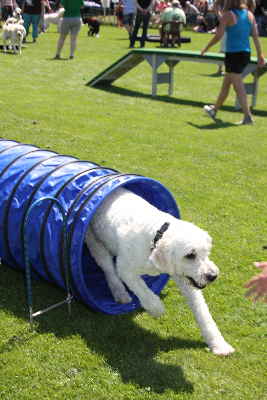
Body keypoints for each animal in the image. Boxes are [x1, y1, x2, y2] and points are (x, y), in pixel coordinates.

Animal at [86, 188, 237, 356]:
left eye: (207, 252)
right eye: (190, 255)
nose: (213, 276)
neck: (155, 237)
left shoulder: (185, 279)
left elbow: (203, 312)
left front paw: (218, 344)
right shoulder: (125, 268)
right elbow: (142, 289)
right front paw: (156, 308)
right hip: (95, 243)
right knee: (108, 268)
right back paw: (120, 293)